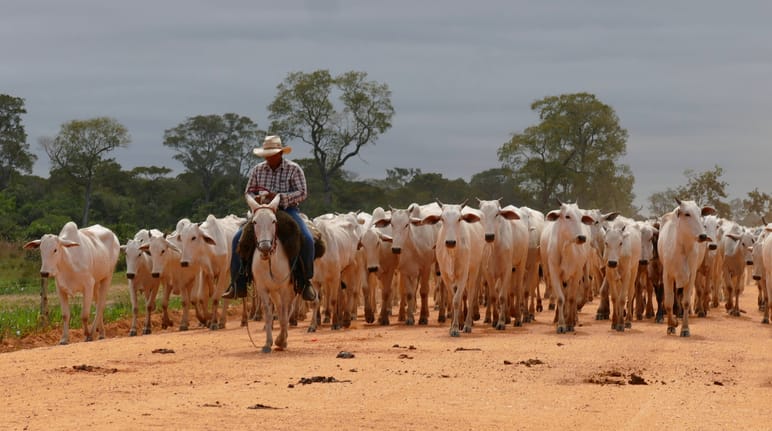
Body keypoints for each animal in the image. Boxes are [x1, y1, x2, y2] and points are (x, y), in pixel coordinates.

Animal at [422, 203, 482, 338]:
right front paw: (453, 326)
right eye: (442, 219)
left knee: (471, 294)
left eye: (459, 219)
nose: (450, 242)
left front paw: (456, 328)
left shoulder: (463, 273)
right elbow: (452, 297)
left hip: (474, 270)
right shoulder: (444, 274)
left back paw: (467, 325)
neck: (452, 253)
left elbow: (456, 300)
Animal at [540, 202, 596, 334]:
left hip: (584, 267)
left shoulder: (576, 274)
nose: (582, 237)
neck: (565, 248)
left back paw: (573, 318)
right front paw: (561, 324)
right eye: (567, 216)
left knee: (580, 290)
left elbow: (571, 298)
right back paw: (557, 318)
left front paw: (570, 323)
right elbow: (561, 298)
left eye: (581, 218)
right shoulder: (554, 273)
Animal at [656, 199, 716, 338]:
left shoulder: (691, 275)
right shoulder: (667, 275)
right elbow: (668, 302)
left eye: (700, 214)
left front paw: (684, 328)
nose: (703, 236)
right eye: (687, 214)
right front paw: (671, 325)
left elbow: (686, 302)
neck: (682, 247)